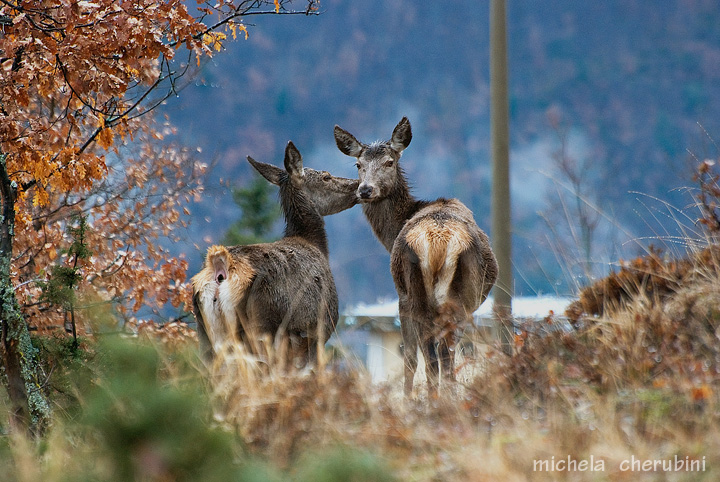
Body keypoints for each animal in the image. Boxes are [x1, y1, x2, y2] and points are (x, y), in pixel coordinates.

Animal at [191, 141, 360, 368]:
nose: (358, 184)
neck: (316, 245)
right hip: (261, 326)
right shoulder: (318, 332)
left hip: (204, 333)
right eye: (326, 176)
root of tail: (220, 266)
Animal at [334, 116, 498, 396]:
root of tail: (438, 240)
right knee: (441, 356)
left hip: (421, 295)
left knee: (433, 357)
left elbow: (410, 357)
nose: (365, 190)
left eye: (389, 161)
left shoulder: (401, 298)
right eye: (358, 164)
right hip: (449, 300)